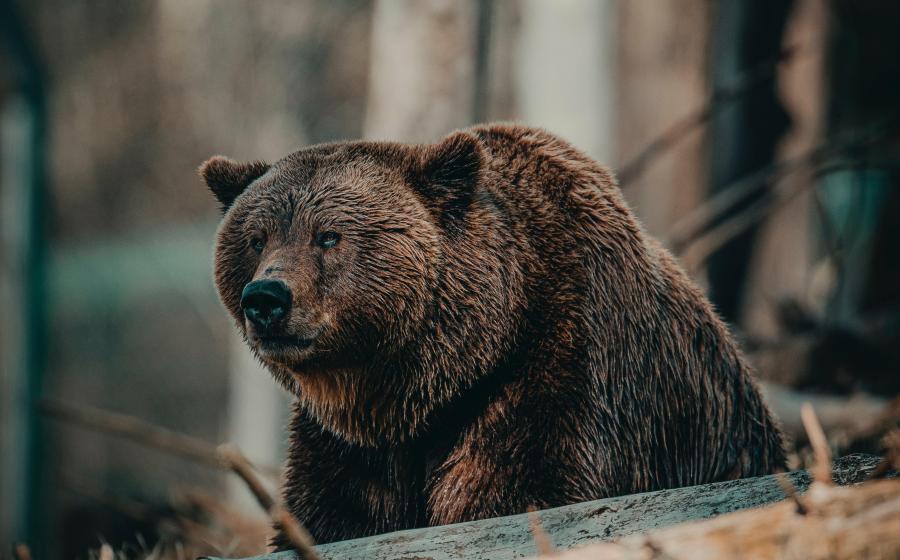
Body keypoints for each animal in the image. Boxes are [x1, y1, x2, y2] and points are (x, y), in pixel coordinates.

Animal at [200, 122, 784, 548]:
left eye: (329, 236)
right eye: (256, 238)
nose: (266, 298)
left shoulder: (559, 370)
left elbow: (520, 491)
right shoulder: (350, 444)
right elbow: (330, 514)